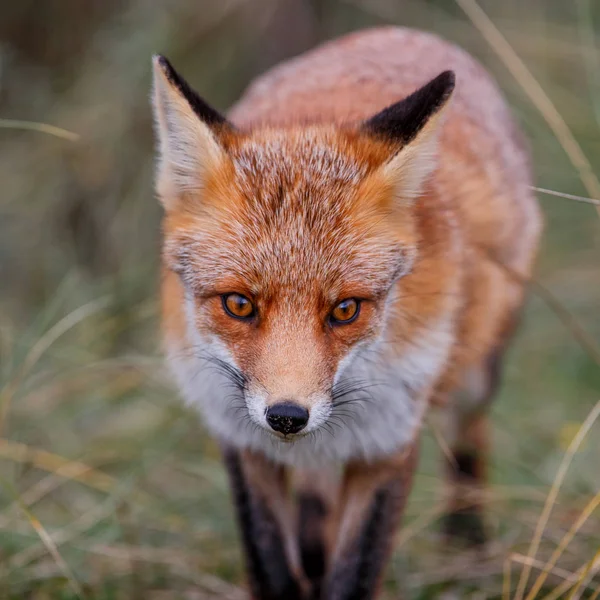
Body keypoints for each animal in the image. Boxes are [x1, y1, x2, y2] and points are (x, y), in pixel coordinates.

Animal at [152, 25, 540, 596]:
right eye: (239, 304)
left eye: (346, 309)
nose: (288, 416)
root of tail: (399, 33)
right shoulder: (242, 443)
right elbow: (271, 566)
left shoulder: (388, 443)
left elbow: (354, 571)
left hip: (477, 372)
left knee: (471, 437)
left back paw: (468, 544)